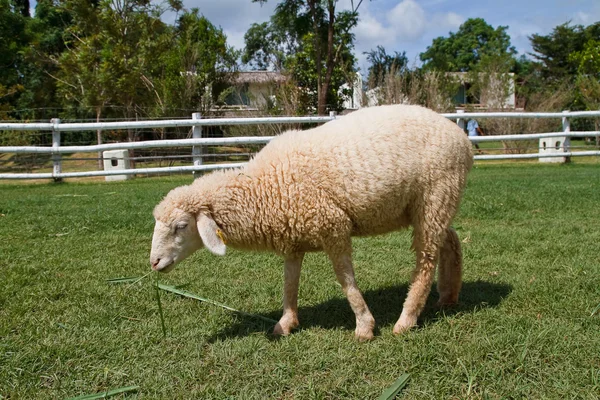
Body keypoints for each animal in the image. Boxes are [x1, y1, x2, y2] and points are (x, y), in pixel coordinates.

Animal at [150, 104, 474, 340]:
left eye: (181, 226)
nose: (153, 263)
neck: (263, 186)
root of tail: (463, 140)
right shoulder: (293, 238)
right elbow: (289, 283)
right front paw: (286, 323)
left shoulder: (333, 225)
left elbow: (346, 281)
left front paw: (364, 326)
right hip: (429, 206)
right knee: (450, 241)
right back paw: (449, 296)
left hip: (435, 195)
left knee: (426, 260)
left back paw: (406, 320)